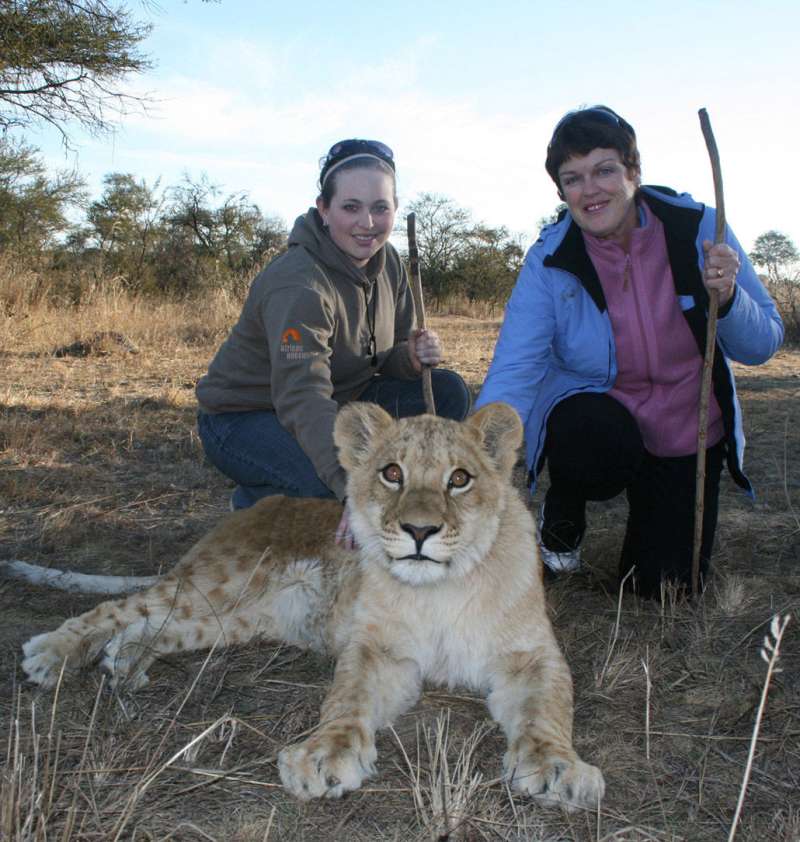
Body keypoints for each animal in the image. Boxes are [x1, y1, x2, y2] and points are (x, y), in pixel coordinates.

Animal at [4, 402, 605, 810]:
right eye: (392, 473)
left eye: (460, 479)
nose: (419, 531)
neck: (441, 588)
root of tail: (250, 509)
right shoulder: (378, 652)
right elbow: (346, 700)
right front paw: (323, 757)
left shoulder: (532, 657)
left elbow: (547, 710)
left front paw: (558, 768)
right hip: (216, 582)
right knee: (118, 609)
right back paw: (50, 653)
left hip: (234, 619)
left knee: (158, 627)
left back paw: (123, 663)